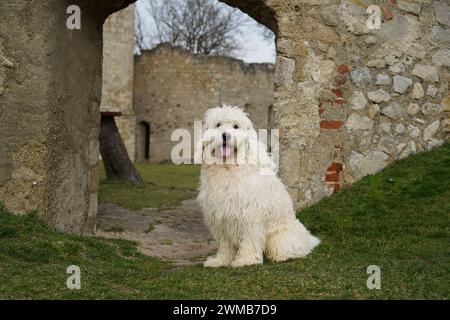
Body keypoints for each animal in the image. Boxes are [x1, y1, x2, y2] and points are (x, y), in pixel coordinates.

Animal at [197, 105, 320, 268]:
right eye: (218, 125)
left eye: (236, 126)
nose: (225, 136)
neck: (229, 167)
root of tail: (307, 239)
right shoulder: (220, 216)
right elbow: (225, 244)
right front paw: (220, 260)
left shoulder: (250, 214)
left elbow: (249, 240)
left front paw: (246, 260)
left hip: (280, 235)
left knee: (294, 248)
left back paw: (282, 256)